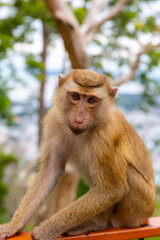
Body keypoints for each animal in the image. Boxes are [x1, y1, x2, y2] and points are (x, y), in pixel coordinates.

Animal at [0, 68, 156, 240]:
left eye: (92, 100)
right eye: (75, 97)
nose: (79, 118)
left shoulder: (109, 135)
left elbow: (111, 189)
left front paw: (46, 230)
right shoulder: (54, 120)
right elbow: (51, 170)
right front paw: (13, 226)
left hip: (137, 210)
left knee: (122, 174)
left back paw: (97, 224)